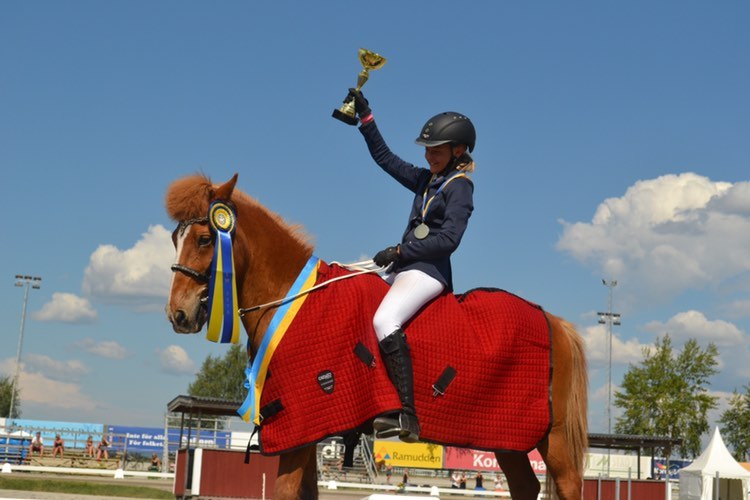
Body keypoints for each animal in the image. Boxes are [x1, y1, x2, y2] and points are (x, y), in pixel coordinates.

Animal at [164, 174, 588, 498]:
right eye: (174, 239)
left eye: (205, 239)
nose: (178, 314)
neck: (294, 300)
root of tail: (551, 319)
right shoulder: (310, 428)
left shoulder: (301, 424)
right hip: (507, 435)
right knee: (524, 486)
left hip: (554, 438)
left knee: (568, 485)